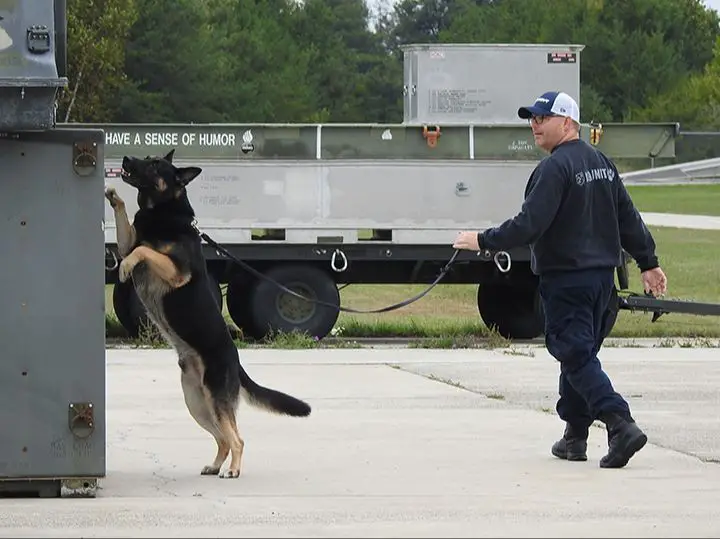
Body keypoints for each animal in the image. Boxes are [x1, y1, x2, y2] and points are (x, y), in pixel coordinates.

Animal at [105, 150, 312, 478]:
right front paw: (114, 197)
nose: (125, 158)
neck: (163, 212)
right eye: (148, 157)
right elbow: (129, 233)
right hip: (196, 403)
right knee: (223, 438)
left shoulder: (176, 271)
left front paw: (125, 268)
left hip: (214, 398)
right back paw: (216, 466)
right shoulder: (128, 241)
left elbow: (144, 252)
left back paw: (233, 470)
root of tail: (236, 360)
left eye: (154, 164)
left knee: (237, 438)